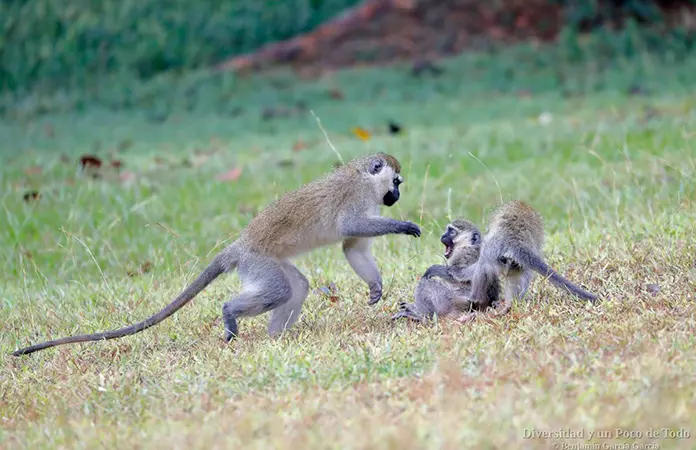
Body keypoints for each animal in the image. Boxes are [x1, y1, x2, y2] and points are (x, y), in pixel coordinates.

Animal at [12, 153, 421, 357]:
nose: (398, 195)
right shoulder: (355, 198)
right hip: (258, 262)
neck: (365, 180)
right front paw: (403, 226)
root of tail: (237, 247)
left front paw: (375, 287)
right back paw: (230, 315)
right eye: (396, 182)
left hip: (261, 265)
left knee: (296, 287)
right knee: (279, 290)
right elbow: (351, 228)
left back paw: (276, 336)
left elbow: (353, 246)